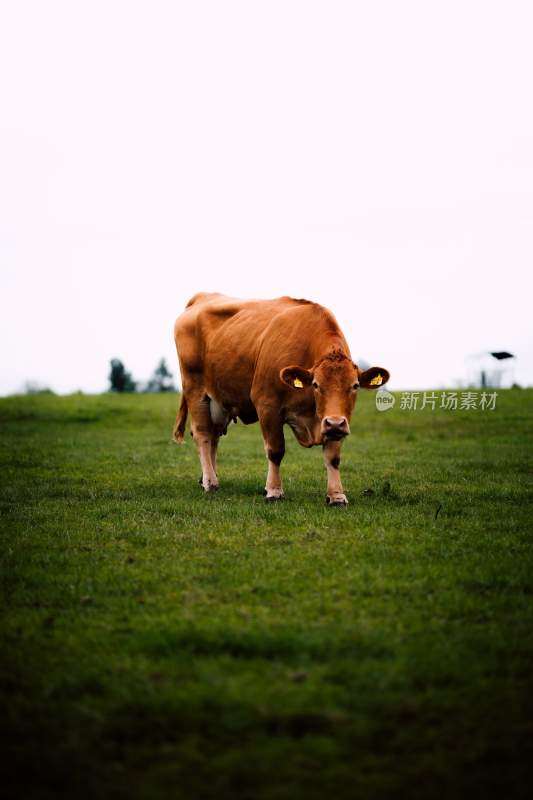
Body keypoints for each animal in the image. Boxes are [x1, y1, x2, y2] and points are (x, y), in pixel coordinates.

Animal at [172, 292, 388, 506]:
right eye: (316, 385)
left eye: (355, 386)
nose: (334, 423)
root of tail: (202, 297)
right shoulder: (268, 405)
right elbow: (276, 450)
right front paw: (274, 491)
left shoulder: (338, 419)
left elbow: (333, 456)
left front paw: (336, 495)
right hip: (195, 389)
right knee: (203, 434)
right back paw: (210, 482)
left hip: (219, 400)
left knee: (214, 436)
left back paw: (208, 477)